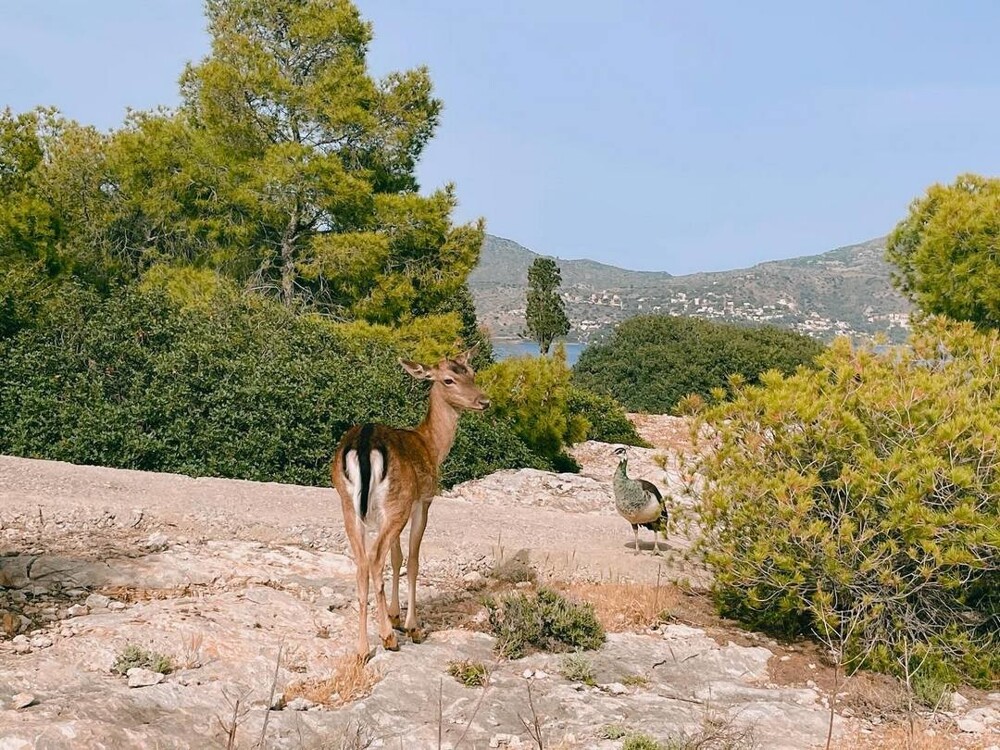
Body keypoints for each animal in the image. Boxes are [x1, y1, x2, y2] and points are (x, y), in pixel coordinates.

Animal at [332, 346, 492, 656]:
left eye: (472, 372)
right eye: (448, 380)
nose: (484, 401)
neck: (431, 446)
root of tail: (364, 444)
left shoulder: (393, 510)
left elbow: (397, 557)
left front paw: (394, 615)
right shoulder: (423, 501)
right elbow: (414, 559)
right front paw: (411, 626)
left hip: (350, 504)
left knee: (361, 562)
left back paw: (362, 648)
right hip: (396, 503)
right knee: (374, 558)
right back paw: (387, 638)